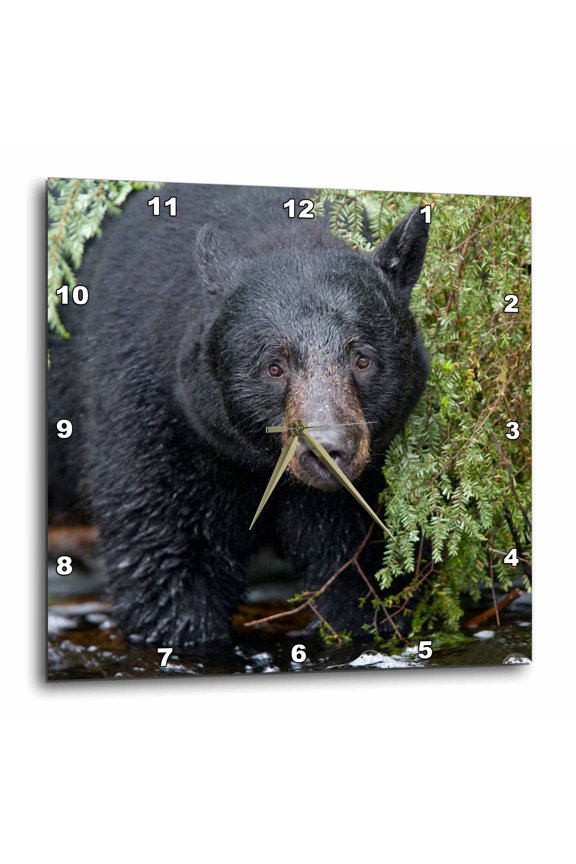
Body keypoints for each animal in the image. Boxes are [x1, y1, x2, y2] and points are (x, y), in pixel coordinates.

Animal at [48, 182, 430, 649]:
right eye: (274, 367)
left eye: (362, 360)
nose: (328, 449)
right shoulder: (154, 412)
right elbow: (167, 553)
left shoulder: (369, 471)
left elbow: (361, 565)